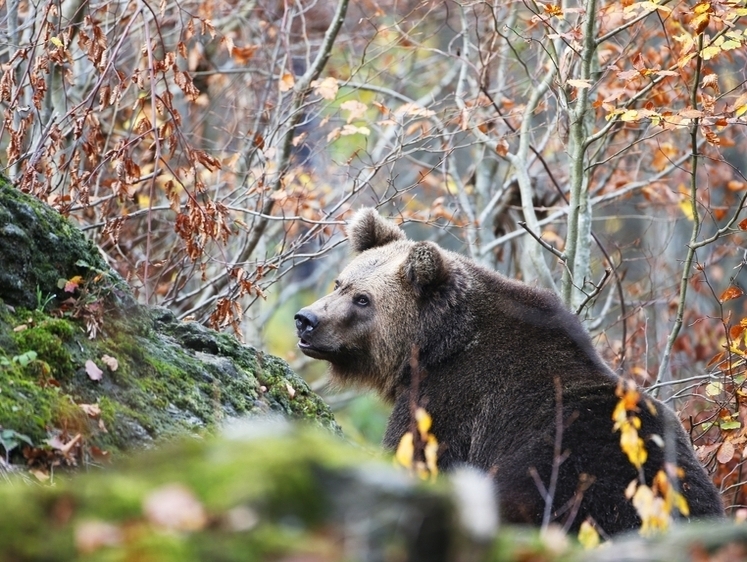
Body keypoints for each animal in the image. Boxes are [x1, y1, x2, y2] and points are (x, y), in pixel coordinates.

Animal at [294, 208, 724, 532]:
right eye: (340, 282)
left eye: (363, 299)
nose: (306, 319)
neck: (434, 347)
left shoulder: (448, 405)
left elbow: (414, 454)